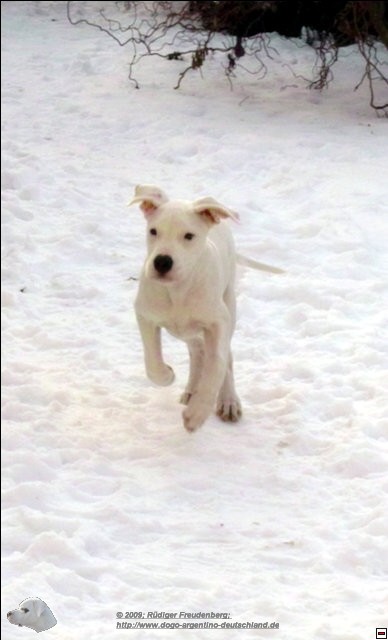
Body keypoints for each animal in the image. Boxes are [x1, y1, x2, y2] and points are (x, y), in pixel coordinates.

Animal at [131, 185, 282, 432]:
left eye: (189, 236)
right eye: (153, 231)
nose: (162, 262)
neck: (179, 290)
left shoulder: (218, 322)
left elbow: (218, 364)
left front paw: (198, 413)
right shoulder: (145, 315)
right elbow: (152, 360)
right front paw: (166, 375)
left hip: (228, 305)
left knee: (223, 356)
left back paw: (227, 400)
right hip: (187, 331)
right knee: (197, 352)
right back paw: (192, 389)